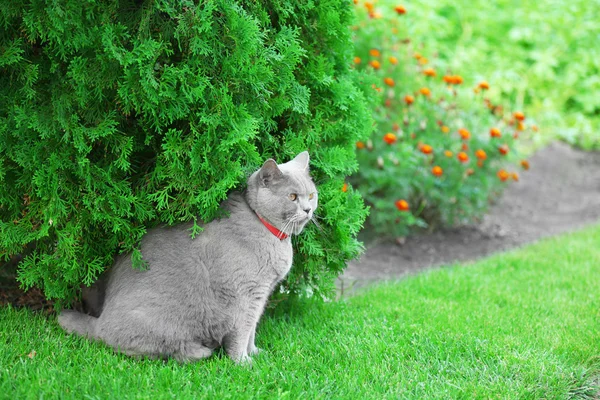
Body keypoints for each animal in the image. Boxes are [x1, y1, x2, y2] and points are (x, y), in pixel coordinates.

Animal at [57, 152, 318, 364]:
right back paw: (199, 351)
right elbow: (242, 331)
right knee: (130, 346)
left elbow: (252, 330)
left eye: (311, 195)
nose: (308, 209)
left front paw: (255, 353)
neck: (267, 229)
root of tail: (100, 318)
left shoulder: (261, 295)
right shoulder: (245, 295)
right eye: (292, 197)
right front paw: (243, 362)